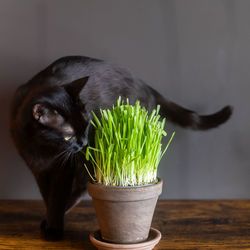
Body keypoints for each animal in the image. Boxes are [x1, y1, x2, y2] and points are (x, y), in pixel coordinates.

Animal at [10, 56, 232, 240]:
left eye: (86, 125)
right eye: (69, 135)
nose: (83, 143)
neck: (42, 147)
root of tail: (144, 84)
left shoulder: (63, 169)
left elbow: (56, 196)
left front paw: (53, 228)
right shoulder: (38, 169)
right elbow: (47, 197)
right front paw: (50, 219)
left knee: (82, 185)